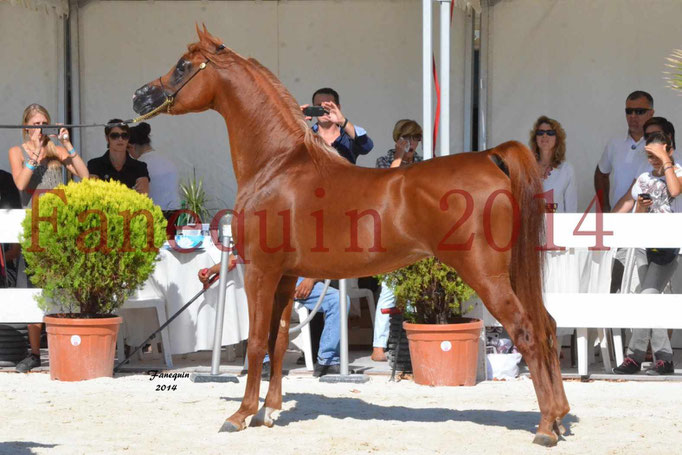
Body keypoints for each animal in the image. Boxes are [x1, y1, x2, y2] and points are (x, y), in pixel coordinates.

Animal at [133, 26, 568, 448]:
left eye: (183, 65)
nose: (140, 96)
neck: (277, 165)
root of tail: (491, 157)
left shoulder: (260, 272)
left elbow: (257, 343)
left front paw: (240, 414)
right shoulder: (285, 277)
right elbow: (277, 341)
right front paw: (268, 411)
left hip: (487, 276)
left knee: (528, 332)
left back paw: (546, 426)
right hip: (514, 273)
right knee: (546, 326)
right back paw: (561, 416)